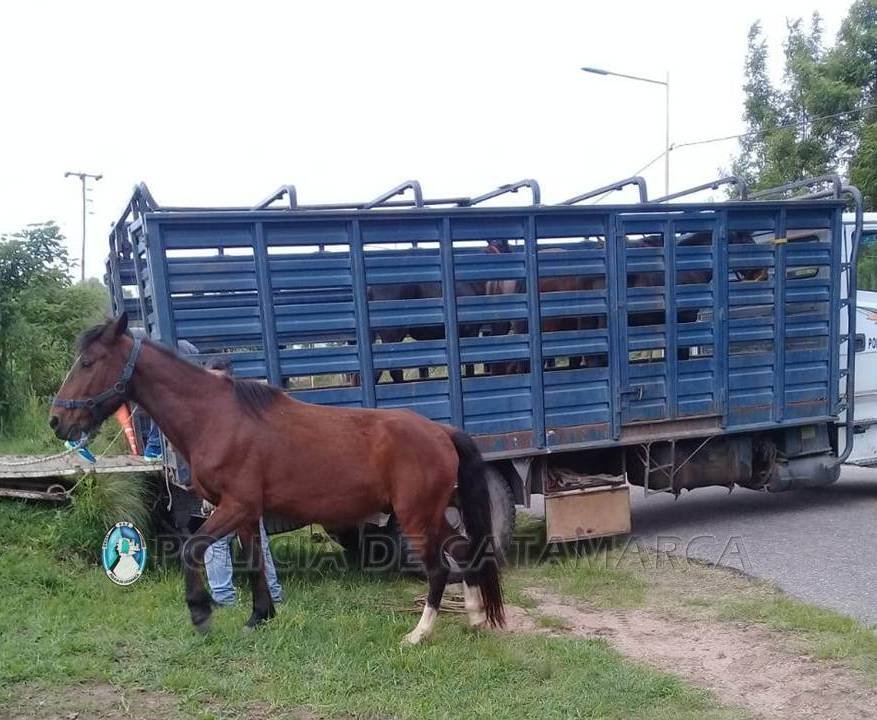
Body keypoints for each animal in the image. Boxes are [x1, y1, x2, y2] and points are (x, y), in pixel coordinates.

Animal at [53, 314, 506, 640]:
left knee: (439, 568)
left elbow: (192, 549)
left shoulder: (234, 507)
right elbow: (255, 563)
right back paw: (475, 617)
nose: (58, 420)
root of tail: (441, 432)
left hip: (415, 517)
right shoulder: (246, 513)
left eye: (88, 362)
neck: (217, 418)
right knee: (465, 550)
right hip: (432, 514)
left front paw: (200, 613)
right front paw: (259, 617)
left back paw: (419, 633)